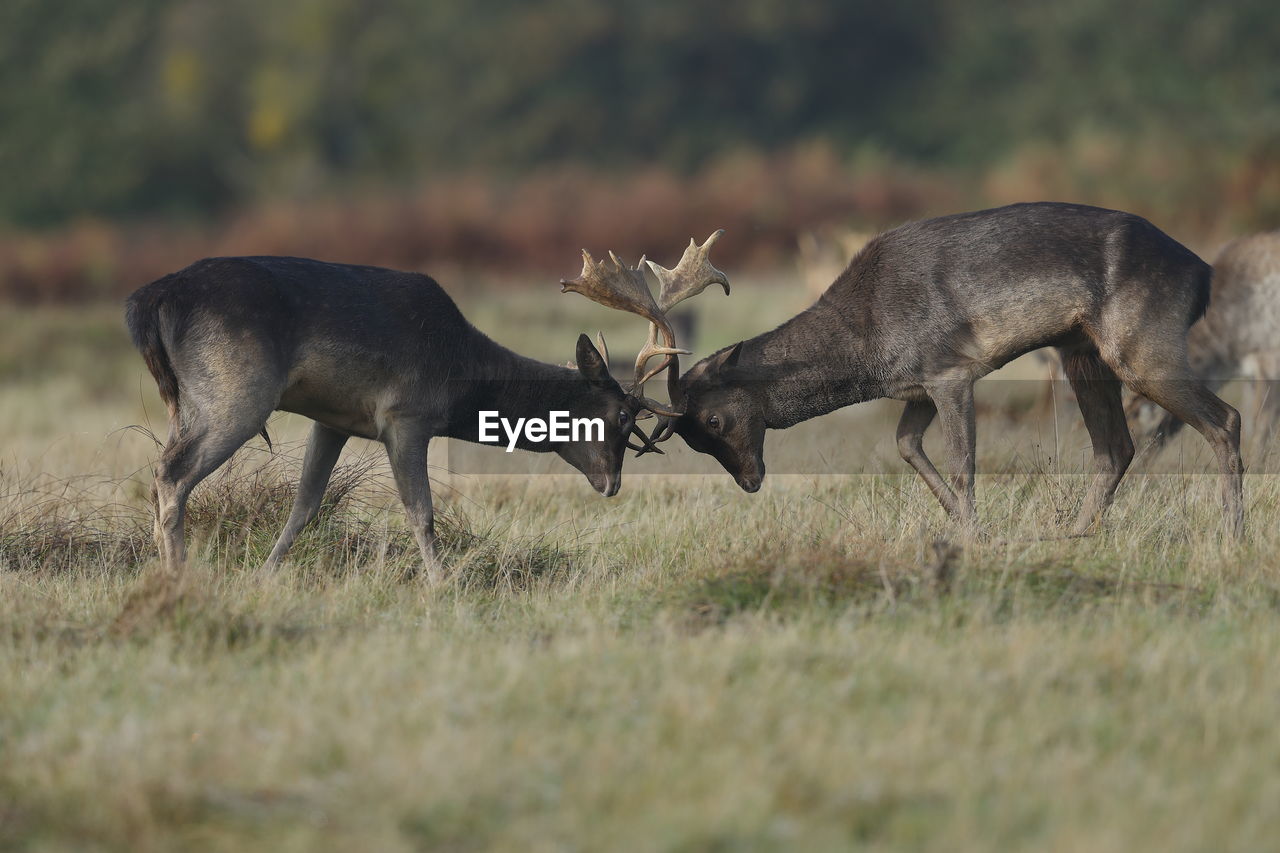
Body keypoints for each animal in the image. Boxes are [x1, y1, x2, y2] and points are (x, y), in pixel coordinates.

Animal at [124, 249, 716, 573]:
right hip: (235, 393)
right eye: (622, 415)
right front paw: (443, 583)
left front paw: (265, 574)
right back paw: (177, 573)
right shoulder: (405, 416)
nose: (612, 483)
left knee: (163, 473)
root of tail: (148, 303)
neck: (458, 377)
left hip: (189, 401)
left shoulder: (332, 420)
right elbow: (421, 511)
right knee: (170, 475)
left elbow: (304, 506)